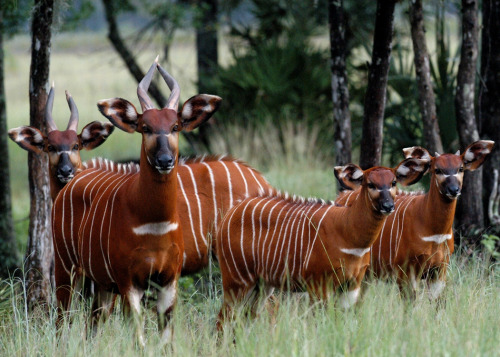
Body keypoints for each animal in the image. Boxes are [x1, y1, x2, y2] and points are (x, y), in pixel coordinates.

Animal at [51, 57, 222, 344]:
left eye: (175, 126)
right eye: (145, 128)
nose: (165, 160)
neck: (154, 222)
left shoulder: (168, 280)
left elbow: (165, 341)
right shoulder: (129, 281)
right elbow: (139, 339)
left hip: (101, 284)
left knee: (92, 324)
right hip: (67, 268)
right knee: (62, 320)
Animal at [217, 157, 428, 324]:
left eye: (393, 182)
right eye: (370, 184)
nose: (388, 205)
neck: (348, 232)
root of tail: (229, 215)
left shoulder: (352, 284)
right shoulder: (318, 285)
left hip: (261, 285)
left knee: (247, 317)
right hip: (237, 279)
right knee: (224, 318)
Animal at [334, 139, 494, 298]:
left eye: (460, 168)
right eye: (437, 170)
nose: (454, 190)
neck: (434, 232)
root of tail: (341, 196)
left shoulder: (439, 271)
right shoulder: (405, 271)